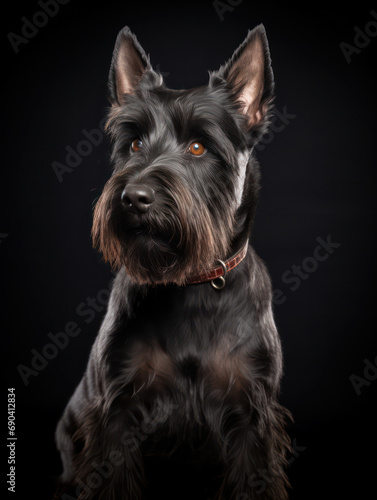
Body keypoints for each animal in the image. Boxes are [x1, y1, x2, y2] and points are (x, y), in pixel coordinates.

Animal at [55, 24, 290, 500]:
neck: (190, 283)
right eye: (134, 142)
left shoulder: (251, 417)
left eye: (198, 146)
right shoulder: (117, 413)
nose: (134, 198)